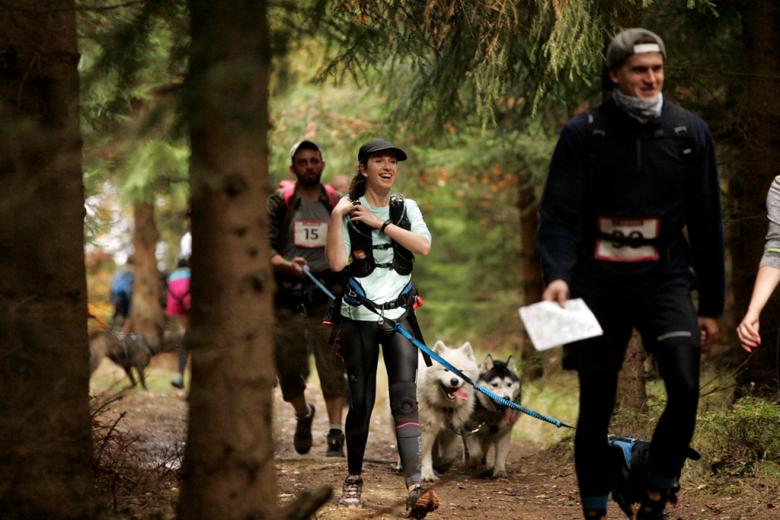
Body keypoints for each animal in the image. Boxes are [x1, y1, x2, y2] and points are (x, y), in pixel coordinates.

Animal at [414, 340, 482, 482]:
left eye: (460, 371)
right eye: (445, 370)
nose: (454, 381)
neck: (444, 406)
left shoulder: (451, 429)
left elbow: (450, 454)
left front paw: (441, 465)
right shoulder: (425, 429)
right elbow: (423, 453)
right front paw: (427, 474)